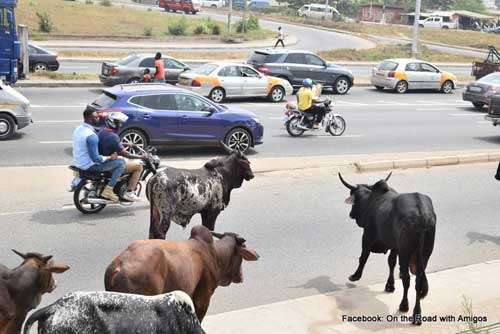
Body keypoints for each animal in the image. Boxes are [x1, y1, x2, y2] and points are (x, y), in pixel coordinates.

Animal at [338, 174, 436, 324]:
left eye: (354, 200)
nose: (351, 214)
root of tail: (422, 214)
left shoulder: (367, 236)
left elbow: (363, 257)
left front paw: (355, 276)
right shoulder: (395, 246)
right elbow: (391, 262)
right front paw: (390, 285)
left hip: (405, 252)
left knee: (407, 279)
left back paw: (404, 306)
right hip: (425, 254)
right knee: (418, 281)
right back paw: (417, 314)